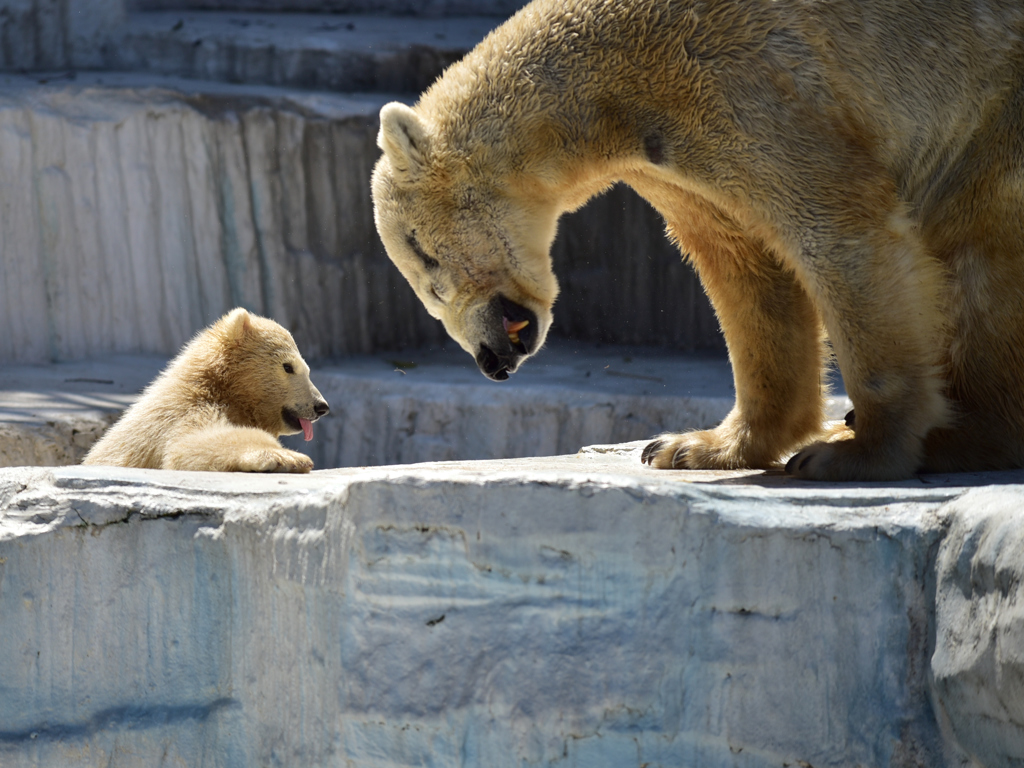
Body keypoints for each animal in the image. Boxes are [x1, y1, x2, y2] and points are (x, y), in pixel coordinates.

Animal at [374, 0, 1024, 481]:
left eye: (425, 257)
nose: (490, 360)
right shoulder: (680, 154)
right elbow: (746, 269)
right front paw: (693, 446)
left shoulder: (751, 85)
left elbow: (840, 231)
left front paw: (855, 455)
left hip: (994, 109)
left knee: (979, 252)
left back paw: (956, 435)